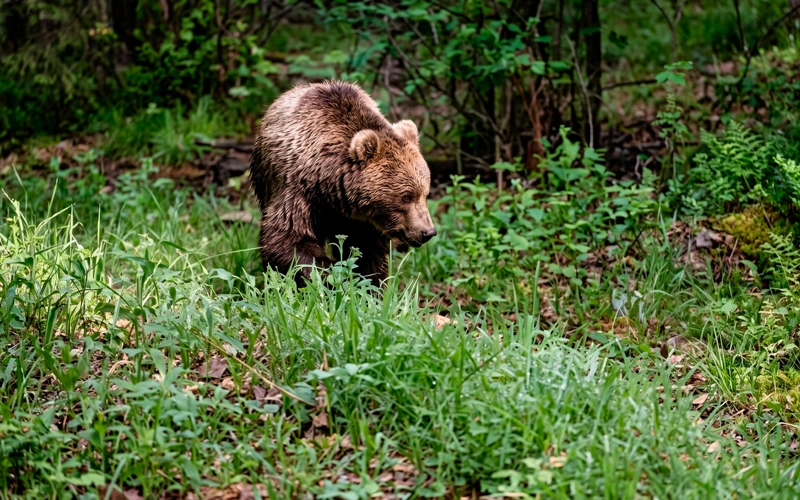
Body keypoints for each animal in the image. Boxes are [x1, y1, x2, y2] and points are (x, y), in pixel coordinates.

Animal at [249, 81, 436, 287]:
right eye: (406, 196)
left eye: (425, 193)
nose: (427, 232)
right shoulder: (298, 192)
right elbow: (287, 238)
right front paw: (327, 273)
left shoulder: (364, 221)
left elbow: (368, 251)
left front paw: (369, 284)